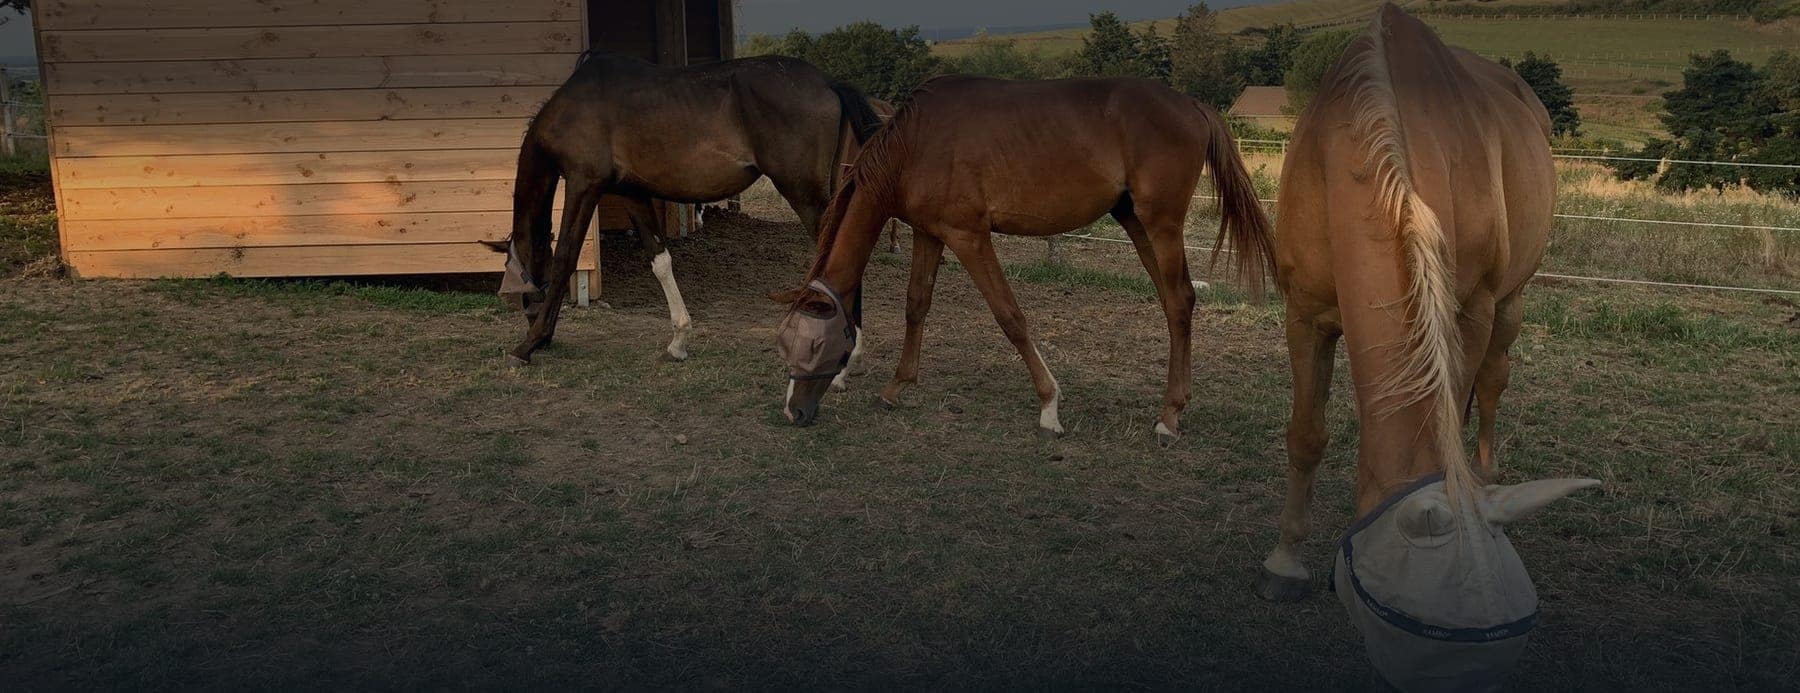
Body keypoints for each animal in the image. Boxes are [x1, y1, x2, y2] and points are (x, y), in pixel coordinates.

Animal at [490, 53, 883, 367]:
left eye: (520, 293)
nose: (534, 324)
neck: (573, 106)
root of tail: (828, 81)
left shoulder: (583, 184)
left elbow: (565, 258)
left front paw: (527, 344)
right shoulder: (632, 192)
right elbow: (659, 259)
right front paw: (679, 340)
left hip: (804, 193)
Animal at [773, 75, 1275, 441]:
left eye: (814, 346)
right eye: (785, 343)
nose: (793, 412)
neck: (918, 142)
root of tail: (1192, 105)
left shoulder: (970, 237)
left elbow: (1009, 316)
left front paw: (1049, 406)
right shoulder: (928, 234)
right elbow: (916, 305)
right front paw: (896, 388)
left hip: (1162, 224)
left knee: (1180, 302)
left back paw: (1168, 418)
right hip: (1135, 221)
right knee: (1177, 302)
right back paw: (1174, 407)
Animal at [1253, 6, 1599, 688]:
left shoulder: (1471, 310)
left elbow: (1461, 400)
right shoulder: (1305, 314)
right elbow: (1306, 435)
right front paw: (1284, 564)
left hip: (1510, 303)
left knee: (1490, 382)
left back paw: (1485, 469)